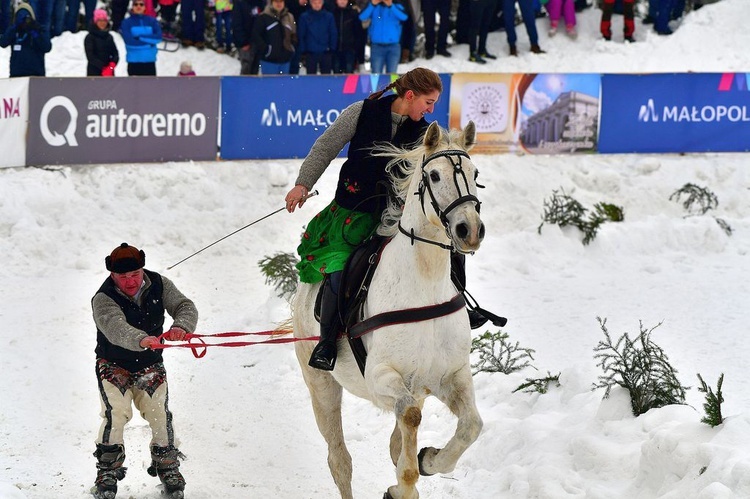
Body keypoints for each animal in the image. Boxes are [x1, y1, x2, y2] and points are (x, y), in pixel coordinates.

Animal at [290, 121, 484, 499]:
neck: (424, 286)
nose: (470, 230)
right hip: (321, 385)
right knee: (340, 461)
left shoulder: (452, 376)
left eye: (475, 173)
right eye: (434, 175)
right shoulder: (381, 377)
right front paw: (404, 485)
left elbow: (471, 425)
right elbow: (408, 419)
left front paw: (430, 460)